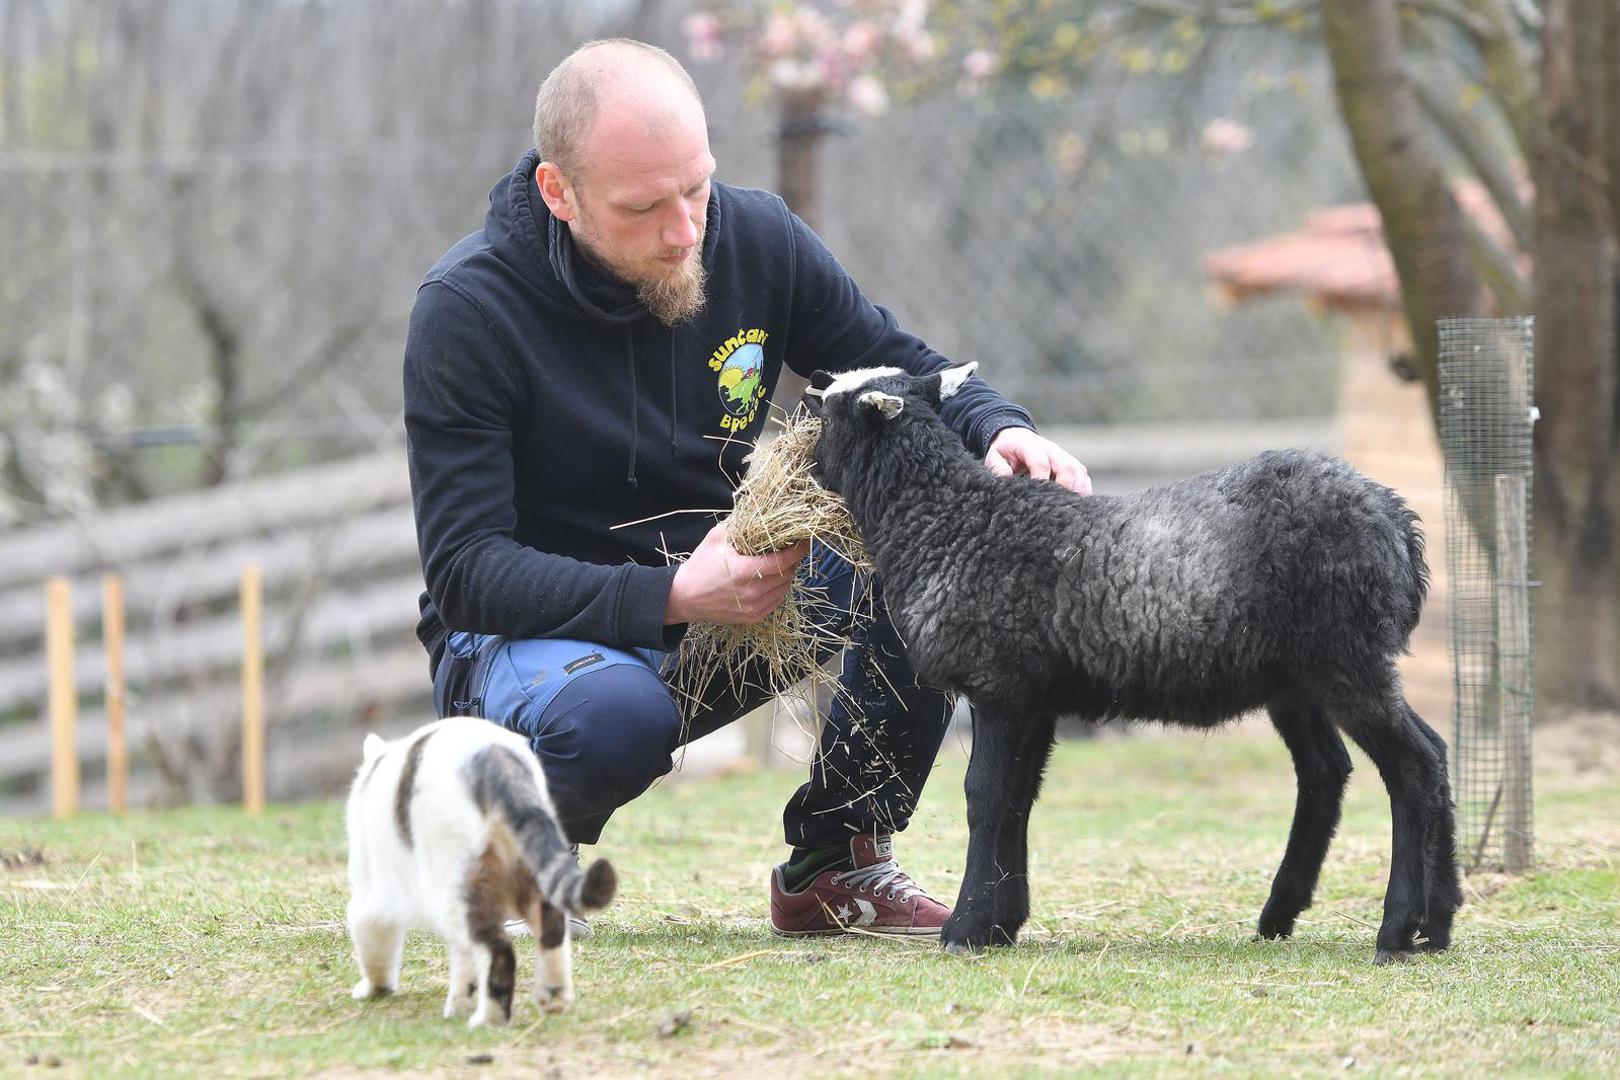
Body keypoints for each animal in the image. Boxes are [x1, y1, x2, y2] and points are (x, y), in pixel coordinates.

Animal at [345, 718, 615, 1029]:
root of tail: (497, 761)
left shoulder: (374, 891)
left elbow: (374, 942)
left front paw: (374, 989)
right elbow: (464, 961)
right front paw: (461, 1001)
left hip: (457, 885)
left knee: (498, 951)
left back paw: (489, 1020)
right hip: (528, 867)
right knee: (551, 931)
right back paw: (553, 997)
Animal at [803, 362, 1464, 965]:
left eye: (831, 414)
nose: (806, 462)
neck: (951, 519)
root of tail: (1398, 523)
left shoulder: (999, 685)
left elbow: (984, 796)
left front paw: (966, 931)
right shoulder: (1035, 701)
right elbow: (1018, 798)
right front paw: (1004, 923)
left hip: (1346, 662)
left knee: (1414, 764)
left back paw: (1397, 930)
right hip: (1302, 676)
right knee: (1347, 767)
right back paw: (1408, 920)